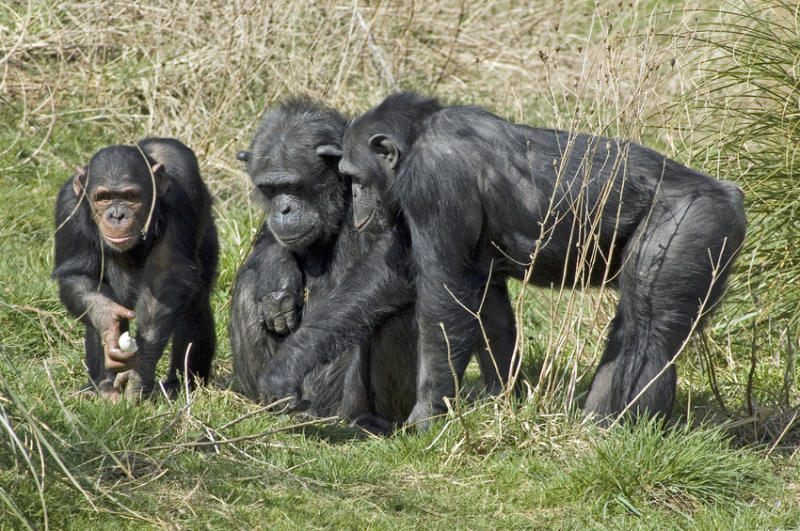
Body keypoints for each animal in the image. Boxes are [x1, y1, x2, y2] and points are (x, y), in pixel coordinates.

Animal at [53, 137, 219, 400]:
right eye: (103, 198)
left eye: (130, 196)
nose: (117, 215)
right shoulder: (68, 205)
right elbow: (80, 276)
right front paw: (107, 318)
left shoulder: (182, 187)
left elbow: (166, 273)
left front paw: (139, 373)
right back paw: (101, 386)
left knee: (194, 305)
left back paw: (181, 385)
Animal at [228, 97, 516, 434]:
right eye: (270, 189)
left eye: (294, 186)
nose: (283, 209)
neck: (340, 201)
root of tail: (318, 413)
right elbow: (266, 245)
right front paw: (277, 280)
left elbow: (400, 271)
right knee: (248, 290)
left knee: (384, 315)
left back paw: (362, 420)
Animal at [340, 92, 752, 432]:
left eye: (353, 176)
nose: (354, 199)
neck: (418, 137)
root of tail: (731, 194)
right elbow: (485, 307)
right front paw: (503, 400)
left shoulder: (433, 182)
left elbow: (445, 298)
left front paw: (426, 417)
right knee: (628, 329)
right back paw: (593, 426)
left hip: (693, 225)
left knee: (650, 332)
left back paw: (625, 434)